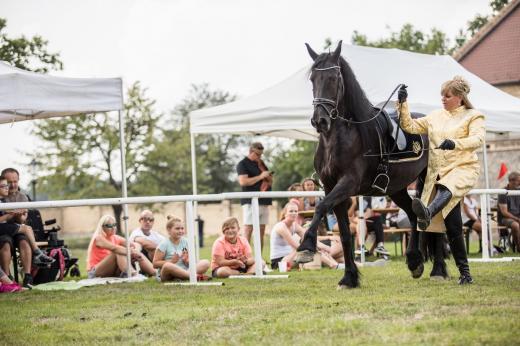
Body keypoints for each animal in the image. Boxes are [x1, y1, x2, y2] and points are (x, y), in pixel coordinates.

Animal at [294, 41, 432, 290]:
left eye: (334, 78)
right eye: (312, 79)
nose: (320, 120)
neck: (339, 138)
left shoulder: (348, 183)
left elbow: (320, 207)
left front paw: (306, 247)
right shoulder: (331, 187)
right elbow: (344, 234)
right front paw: (349, 277)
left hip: (426, 179)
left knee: (427, 215)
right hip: (396, 188)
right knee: (413, 214)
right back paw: (414, 261)